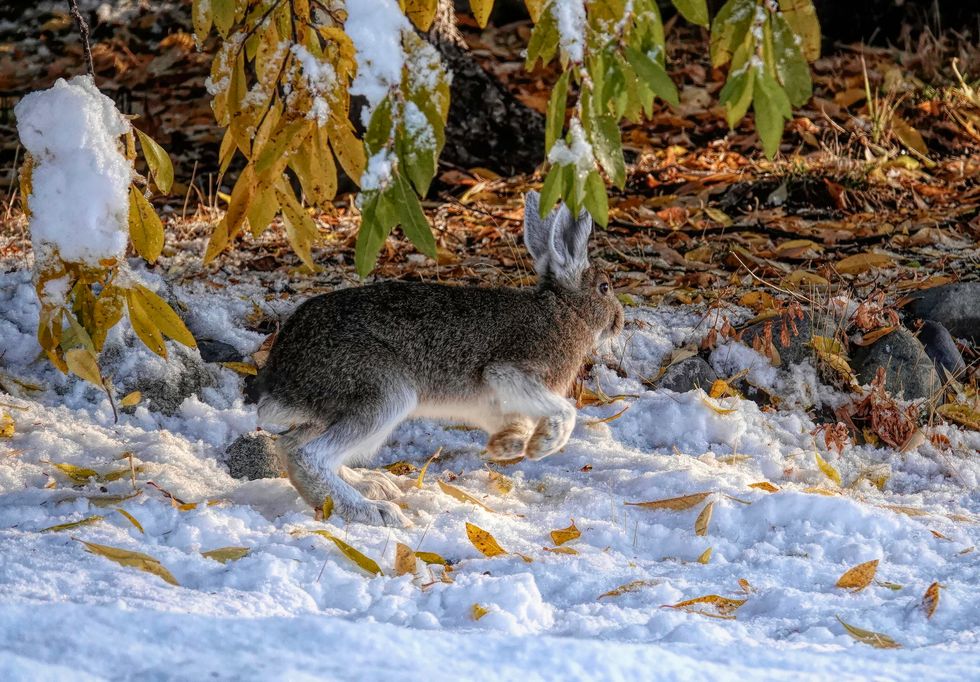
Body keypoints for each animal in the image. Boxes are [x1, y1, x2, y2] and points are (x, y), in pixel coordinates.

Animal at [253, 191, 625, 527]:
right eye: (604, 287)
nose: (620, 321)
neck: (565, 310)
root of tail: (280, 374)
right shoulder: (509, 372)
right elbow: (565, 412)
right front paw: (540, 446)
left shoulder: (492, 404)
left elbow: (513, 422)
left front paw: (507, 447)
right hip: (383, 394)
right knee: (309, 454)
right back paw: (371, 511)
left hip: (336, 408)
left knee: (290, 445)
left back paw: (371, 485)